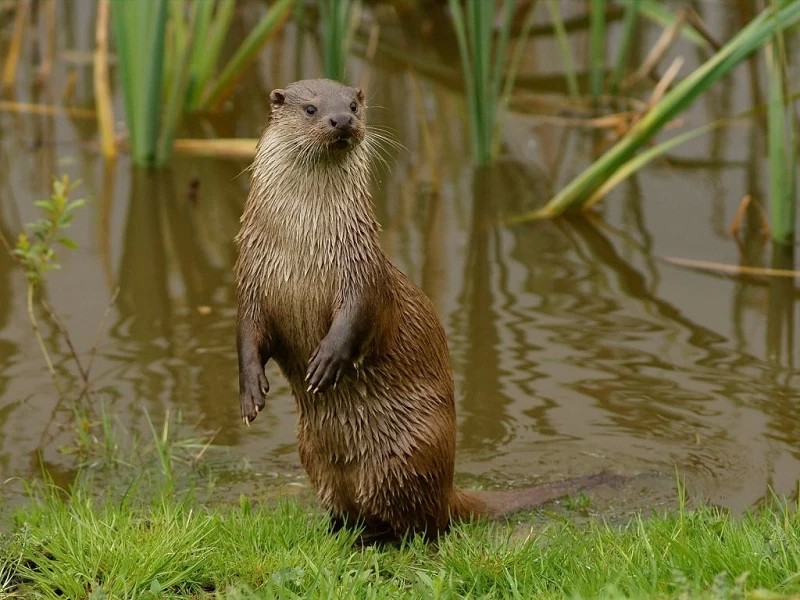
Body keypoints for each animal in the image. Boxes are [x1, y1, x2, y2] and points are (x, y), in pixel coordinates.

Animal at [238, 77, 620, 540]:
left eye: (353, 105)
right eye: (311, 109)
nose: (342, 120)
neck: (302, 253)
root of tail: (449, 483)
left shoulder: (362, 274)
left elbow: (357, 317)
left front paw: (327, 361)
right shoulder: (252, 282)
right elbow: (247, 334)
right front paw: (250, 393)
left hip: (408, 455)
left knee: (423, 521)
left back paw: (378, 536)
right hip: (313, 456)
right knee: (348, 506)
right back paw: (338, 530)